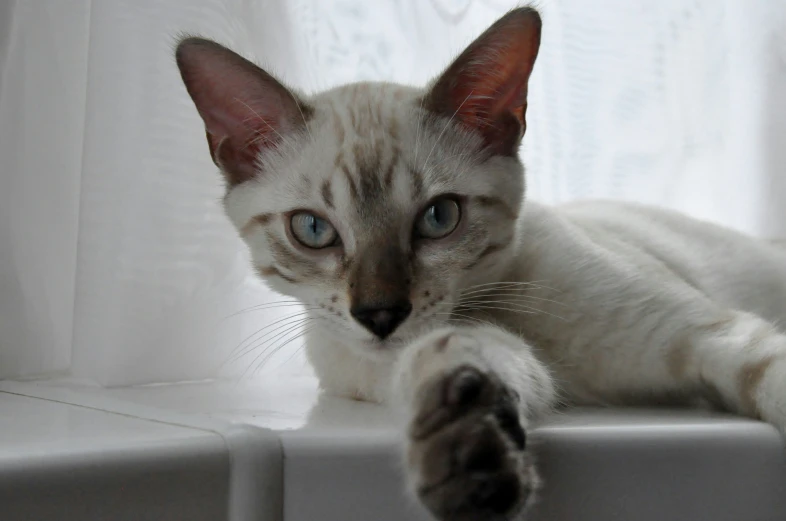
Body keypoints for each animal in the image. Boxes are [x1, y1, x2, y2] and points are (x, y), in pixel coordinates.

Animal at [175, 8, 784, 520]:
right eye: (313, 230)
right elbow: (455, 359)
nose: (379, 315)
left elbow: (768, 378)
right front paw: (469, 457)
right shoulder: (434, 356)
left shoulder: (717, 336)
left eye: (439, 217)